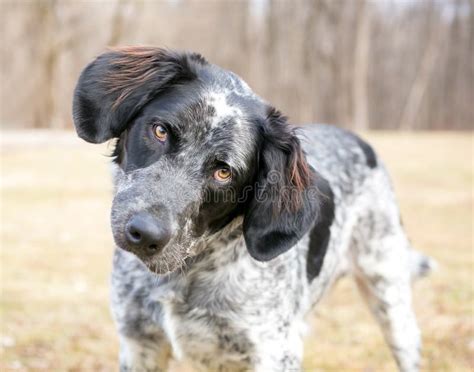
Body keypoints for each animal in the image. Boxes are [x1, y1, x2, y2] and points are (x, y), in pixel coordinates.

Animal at [71, 48, 434, 370]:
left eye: (224, 172)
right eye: (160, 131)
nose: (145, 234)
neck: (185, 272)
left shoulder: (275, 351)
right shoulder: (139, 344)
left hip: (392, 304)